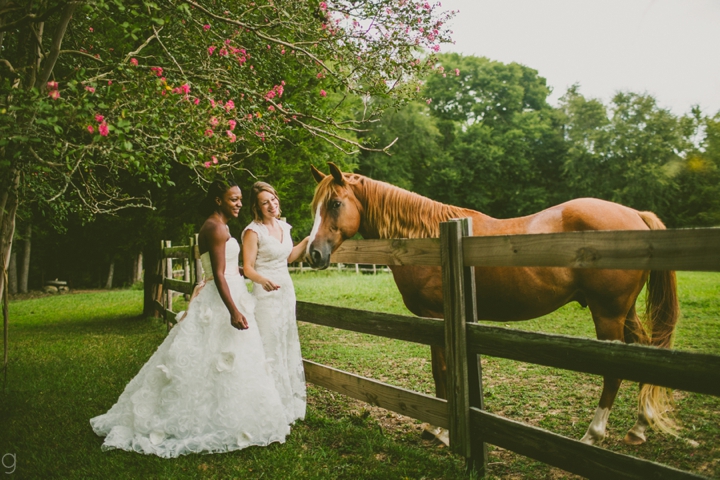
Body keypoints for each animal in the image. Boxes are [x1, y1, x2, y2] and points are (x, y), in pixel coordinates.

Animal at [306, 162, 676, 446]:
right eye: (316, 207)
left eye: (335, 204)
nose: (313, 253)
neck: (427, 238)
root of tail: (635, 215)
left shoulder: (436, 318)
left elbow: (442, 371)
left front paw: (440, 430)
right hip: (623, 312)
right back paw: (639, 428)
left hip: (608, 314)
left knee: (614, 372)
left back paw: (593, 435)